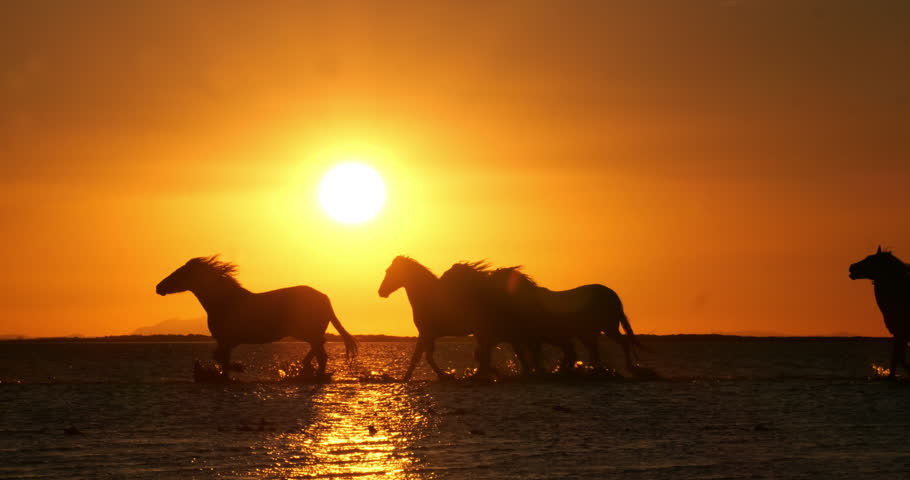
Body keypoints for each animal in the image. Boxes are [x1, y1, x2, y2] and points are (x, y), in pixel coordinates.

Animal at [156, 255, 357, 380]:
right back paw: (306, 368)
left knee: (321, 354)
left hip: (308, 333)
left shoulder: (226, 340)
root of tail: (324, 297)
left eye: (181, 272)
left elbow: (222, 360)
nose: (159, 287)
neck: (225, 301)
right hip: (309, 334)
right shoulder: (226, 341)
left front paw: (235, 369)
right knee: (319, 348)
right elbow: (221, 359)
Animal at [849, 246, 910, 378]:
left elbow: (898, 358)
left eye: (870, 259)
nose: (851, 266)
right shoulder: (899, 333)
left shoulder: (900, 332)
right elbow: (898, 357)